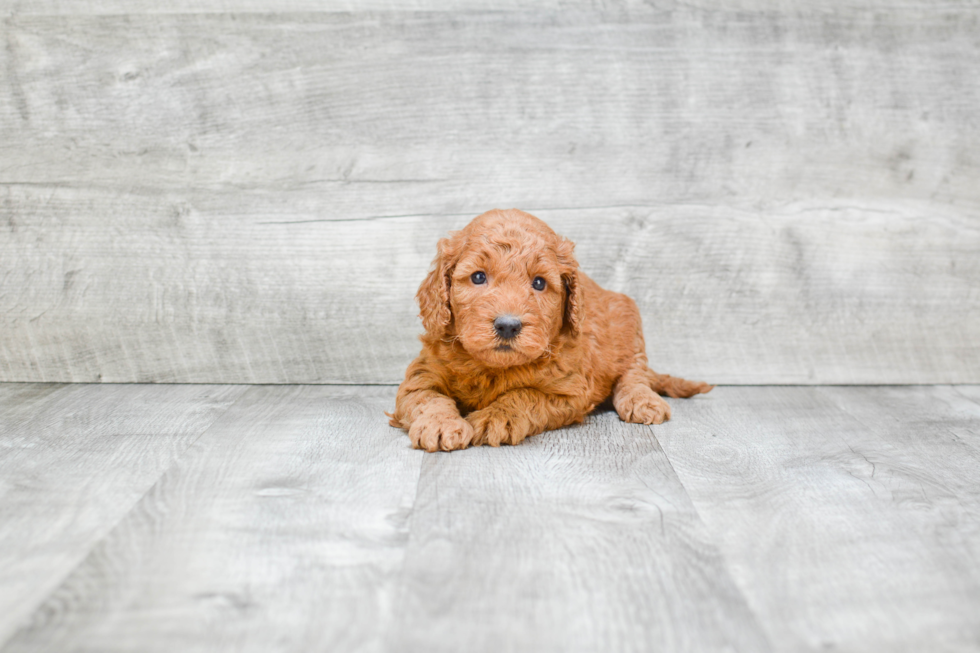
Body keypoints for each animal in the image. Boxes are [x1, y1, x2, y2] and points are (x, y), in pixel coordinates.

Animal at [388, 206, 712, 450]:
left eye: (539, 283)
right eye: (478, 277)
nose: (508, 326)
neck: (493, 368)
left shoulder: (570, 390)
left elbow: (526, 395)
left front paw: (497, 417)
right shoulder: (423, 373)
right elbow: (427, 397)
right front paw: (440, 424)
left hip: (629, 322)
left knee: (635, 373)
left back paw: (641, 399)